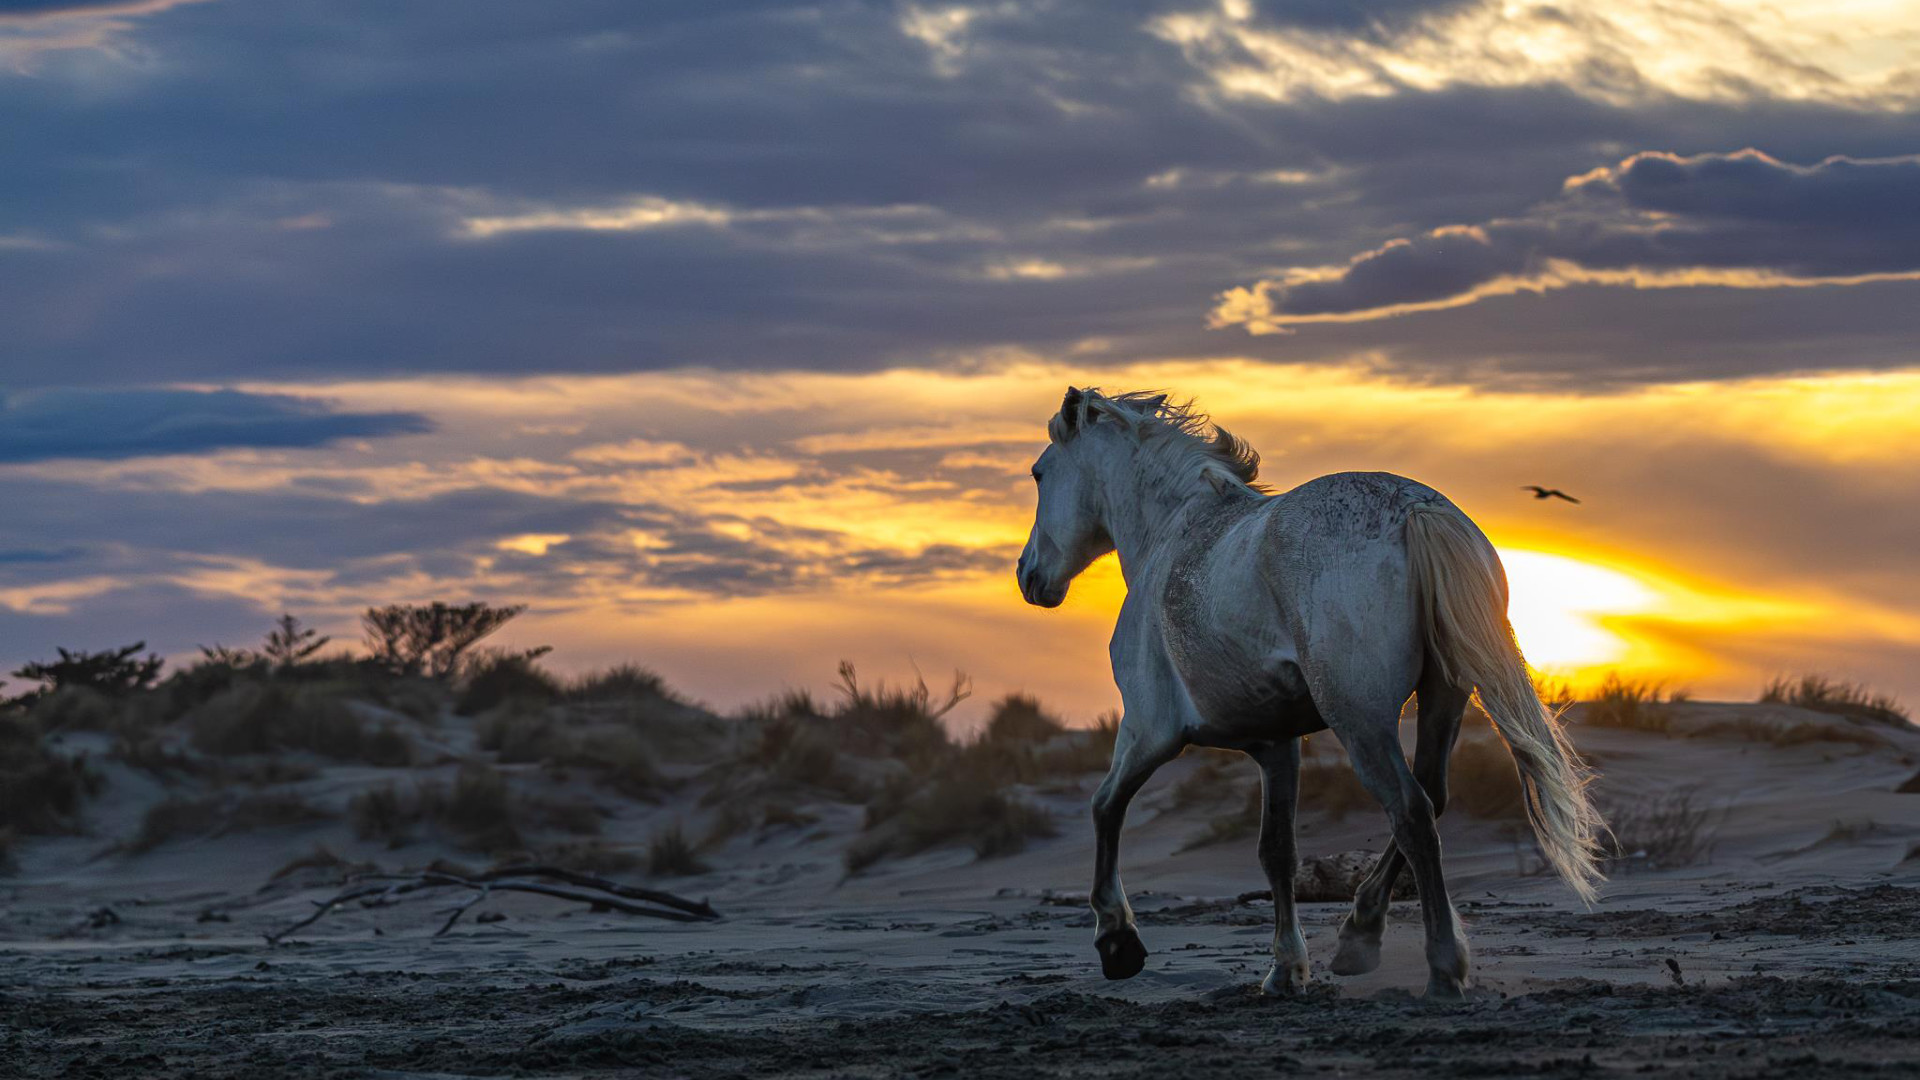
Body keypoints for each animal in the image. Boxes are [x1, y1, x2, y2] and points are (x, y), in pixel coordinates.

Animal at [1021, 384, 1605, 991]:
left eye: (1039, 474)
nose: (1028, 575)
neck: (1173, 536)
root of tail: (1418, 510)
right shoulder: (1276, 745)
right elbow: (1277, 850)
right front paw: (1286, 968)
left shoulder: (1150, 730)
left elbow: (1104, 806)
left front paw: (1117, 940)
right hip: (1442, 699)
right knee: (1433, 796)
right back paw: (1358, 935)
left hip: (1360, 720)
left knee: (1411, 812)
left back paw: (1442, 967)